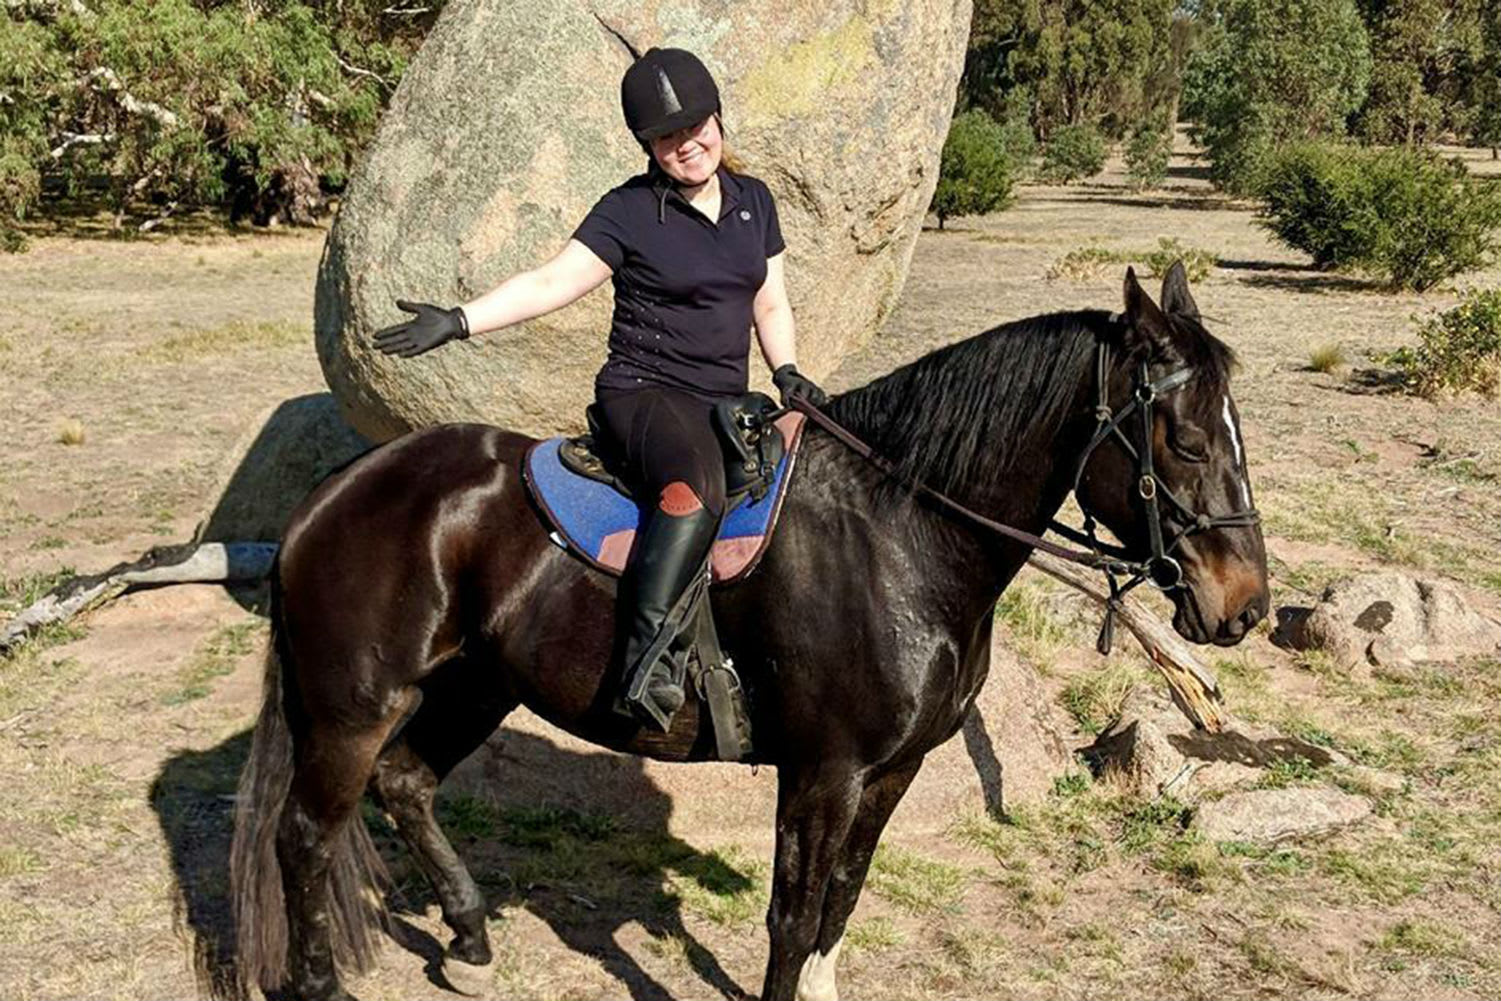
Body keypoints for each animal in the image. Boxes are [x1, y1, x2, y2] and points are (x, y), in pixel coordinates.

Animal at [229, 264, 1269, 1001]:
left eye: (1236, 428)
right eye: (1182, 439)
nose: (1245, 605)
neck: (897, 535)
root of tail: (338, 490)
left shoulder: (892, 771)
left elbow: (841, 899)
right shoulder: (821, 771)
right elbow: (790, 916)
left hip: (473, 684)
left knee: (406, 786)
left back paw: (472, 940)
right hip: (354, 707)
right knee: (307, 836)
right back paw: (322, 982)